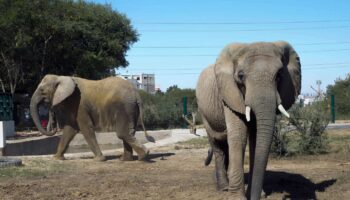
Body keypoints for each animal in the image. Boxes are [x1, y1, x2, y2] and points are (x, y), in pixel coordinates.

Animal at [197, 41, 300, 199]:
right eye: (240, 76)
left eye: (279, 75)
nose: (255, 197)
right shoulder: (229, 94)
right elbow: (239, 136)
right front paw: (237, 197)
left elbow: (256, 138)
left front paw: (260, 194)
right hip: (204, 112)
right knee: (217, 146)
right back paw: (224, 188)